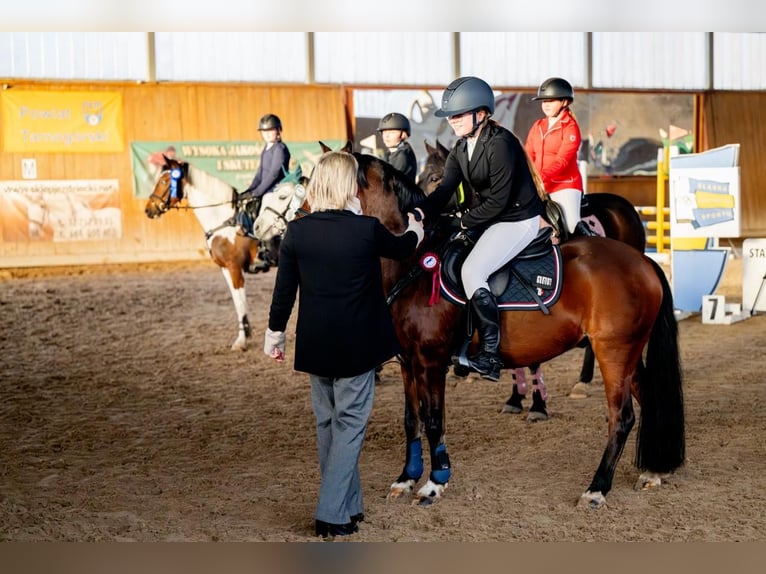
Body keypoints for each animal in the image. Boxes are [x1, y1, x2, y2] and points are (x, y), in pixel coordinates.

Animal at [260, 148, 688, 512]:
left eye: (320, 188)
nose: (294, 227)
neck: (412, 263)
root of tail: (643, 262)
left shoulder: (432, 361)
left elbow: (434, 419)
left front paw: (435, 483)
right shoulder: (407, 363)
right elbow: (412, 420)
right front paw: (406, 479)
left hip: (613, 352)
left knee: (622, 417)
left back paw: (597, 488)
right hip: (628, 354)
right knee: (649, 398)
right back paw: (652, 471)